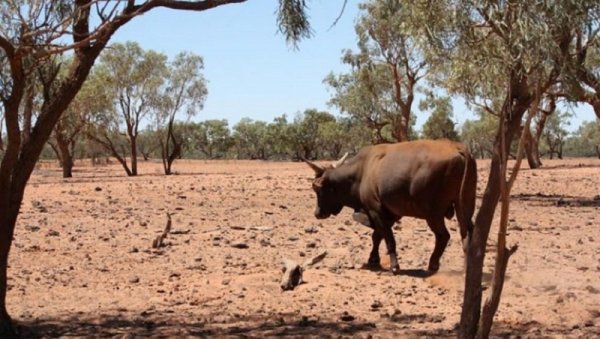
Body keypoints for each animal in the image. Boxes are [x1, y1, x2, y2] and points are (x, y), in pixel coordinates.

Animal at [308, 139, 476, 274]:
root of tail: (457, 147)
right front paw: (373, 259)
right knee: (467, 234)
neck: (361, 171)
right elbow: (377, 236)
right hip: (463, 207)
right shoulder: (389, 214)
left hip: (433, 215)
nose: (317, 213)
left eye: (317, 189)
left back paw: (433, 265)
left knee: (443, 236)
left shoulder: (375, 211)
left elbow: (388, 239)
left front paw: (394, 266)